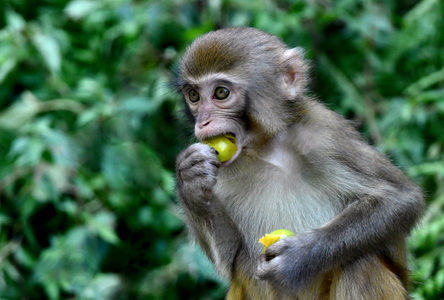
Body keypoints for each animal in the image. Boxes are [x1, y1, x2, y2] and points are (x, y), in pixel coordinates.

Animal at [173, 27, 424, 298]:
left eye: (221, 92)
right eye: (194, 96)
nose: (203, 122)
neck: (265, 147)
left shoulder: (325, 136)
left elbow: (401, 198)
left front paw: (297, 258)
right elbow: (231, 259)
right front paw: (190, 180)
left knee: (360, 262)